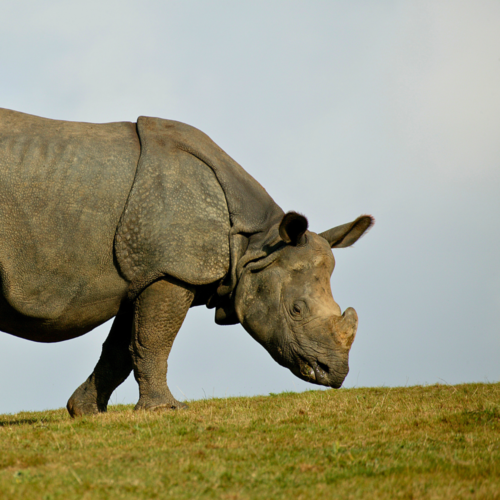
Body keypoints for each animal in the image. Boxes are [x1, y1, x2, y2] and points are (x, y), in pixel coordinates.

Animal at [0, 108, 374, 414]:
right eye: (297, 309)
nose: (335, 373)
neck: (255, 245)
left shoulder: (146, 272)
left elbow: (121, 347)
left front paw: (86, 412)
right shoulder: (173, 270)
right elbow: (153, 340)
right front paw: (165, 410)